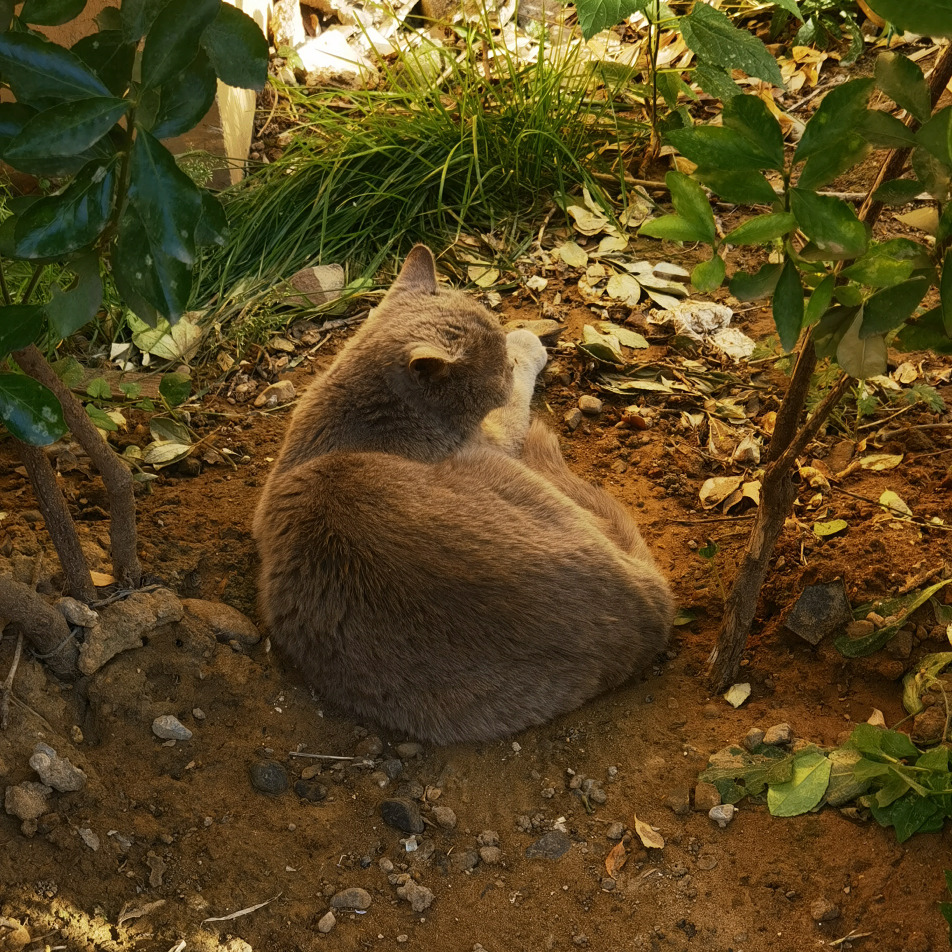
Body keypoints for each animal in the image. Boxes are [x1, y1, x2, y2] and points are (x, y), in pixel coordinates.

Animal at [249, 244, 672, 744]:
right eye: (500, 366)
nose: (507, 358)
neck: (360, 421)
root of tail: (650, 608)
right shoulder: (492, 435)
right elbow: (516, 399)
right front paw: (526, 344)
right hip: (502, 471)